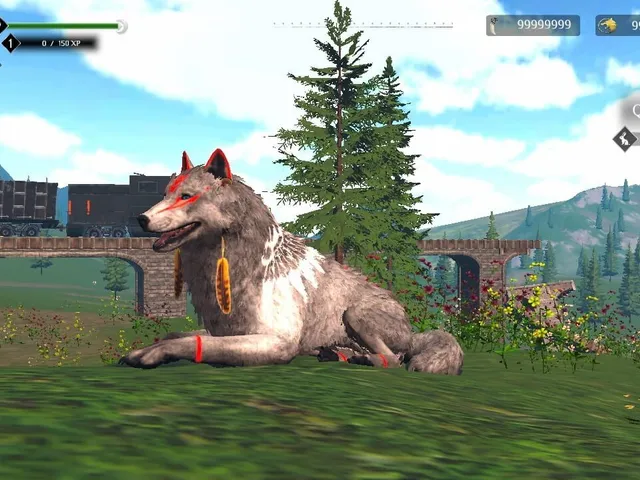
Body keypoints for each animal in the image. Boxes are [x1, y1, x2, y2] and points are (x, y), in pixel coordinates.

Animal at [119, 148, 463, 374]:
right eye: (165, 193)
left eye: (186, 196)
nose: (140, 219)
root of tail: (412, 329)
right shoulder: (227, 330)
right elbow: (178, 335)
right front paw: (144, 349)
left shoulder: (277, 342)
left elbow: (191, 342)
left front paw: (151, 355)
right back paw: (335, 353)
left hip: (353, 314)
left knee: (395, 359)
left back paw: (361, 359)